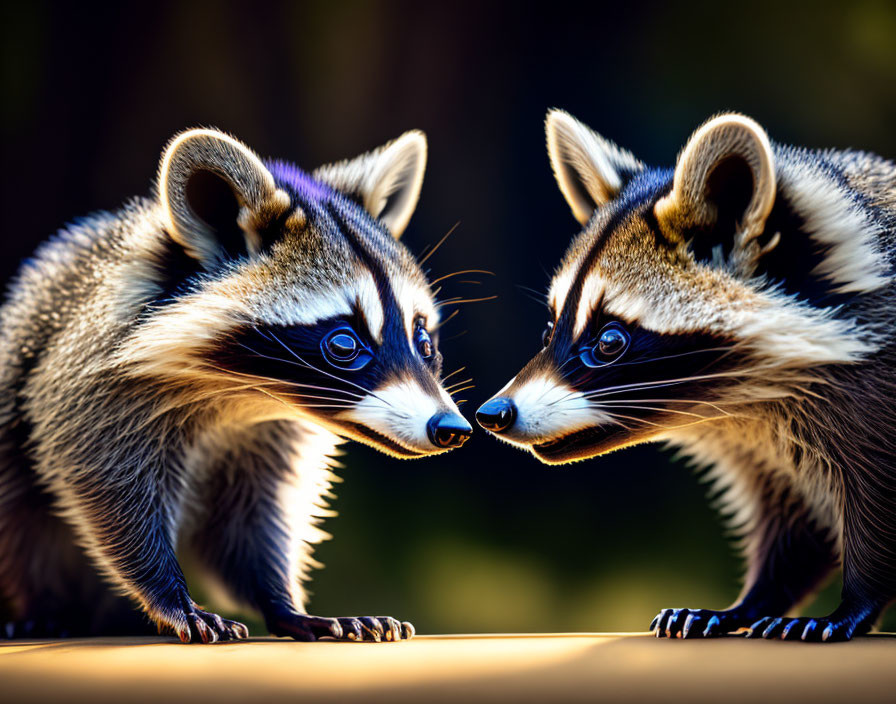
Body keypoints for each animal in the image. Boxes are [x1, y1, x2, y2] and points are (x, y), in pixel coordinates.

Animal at [0, 126, 472, 644]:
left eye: (422, 340)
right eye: (344, 344)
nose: (451, 428)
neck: (246, 395)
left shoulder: (267, 438)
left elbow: (251, 526)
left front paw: (283, 604)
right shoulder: (88, 384)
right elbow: (103, 485)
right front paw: (168, 594)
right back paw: (43, 606)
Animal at [480, 111, 892, 644]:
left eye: (609, 341)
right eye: (551, 329)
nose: (491, 414)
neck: (746, 407)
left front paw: (855, 604)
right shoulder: (772, 458)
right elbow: (793, 535)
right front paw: (753, 600)